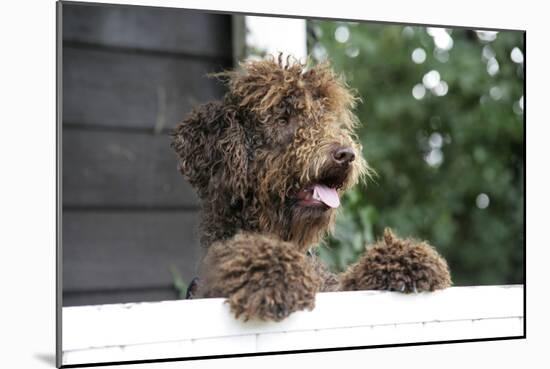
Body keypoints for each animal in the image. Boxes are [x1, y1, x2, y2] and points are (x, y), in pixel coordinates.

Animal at [172, 55, 452, 322]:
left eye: (326, 117)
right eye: (282, 118)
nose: (346, 154)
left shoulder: (335, 289)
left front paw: (406, 259)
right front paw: (271, 272)